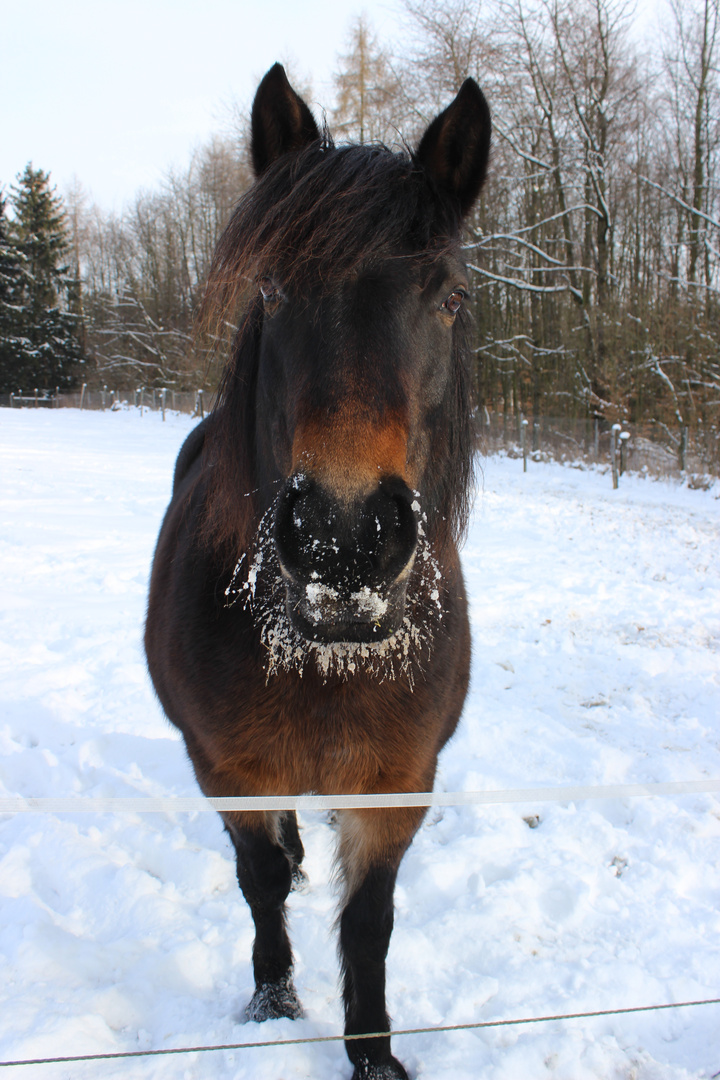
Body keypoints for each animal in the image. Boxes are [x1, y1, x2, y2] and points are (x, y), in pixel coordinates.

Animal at [146, 63, 492, 1075]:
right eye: (270, 288)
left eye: (450, 296)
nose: (345, 536)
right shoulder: (226, 765)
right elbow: (260, 881)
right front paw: (273, 1003)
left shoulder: (397, 779)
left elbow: (369, 922)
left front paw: (373, 1054)